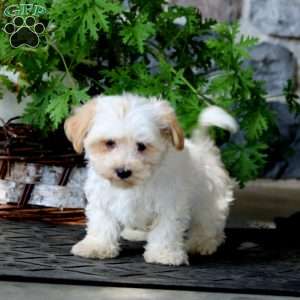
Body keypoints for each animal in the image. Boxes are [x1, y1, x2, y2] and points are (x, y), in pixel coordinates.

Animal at [64, 93, 238, 264]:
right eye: (109, 143)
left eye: (141, 146)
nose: (123, 171)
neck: (134, 184)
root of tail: (205, 148)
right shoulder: (102, 199)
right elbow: (102, 223)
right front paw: (96, 246)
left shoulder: (169, 203)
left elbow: (166, 229)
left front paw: (163, 254)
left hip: (210, 202)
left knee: (209, 225)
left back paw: (202, 243)